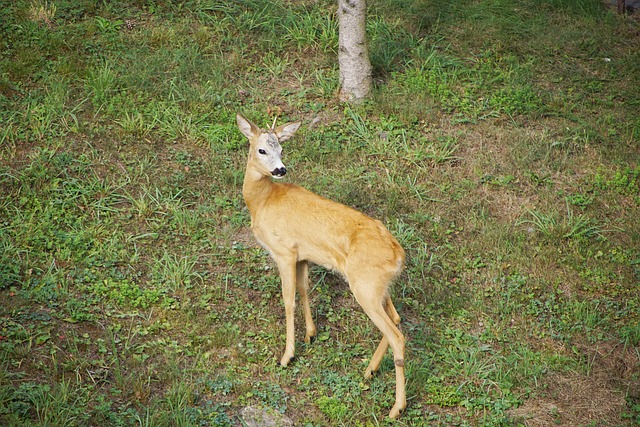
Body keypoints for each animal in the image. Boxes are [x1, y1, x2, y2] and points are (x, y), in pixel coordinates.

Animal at [238, 113, 408, 418]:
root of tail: (398, 254)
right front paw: (311, 334)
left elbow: (288, 300)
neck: (262, 201)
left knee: (397, 335)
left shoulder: (283, 251)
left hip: (365, 287)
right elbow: (305, 290)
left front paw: (287, 356)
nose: (280, 169)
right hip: (379, 287)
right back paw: (369, 371)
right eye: (262, 149)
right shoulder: (302, 255)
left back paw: (396, 408)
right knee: (397, 319)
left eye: (281, 148)